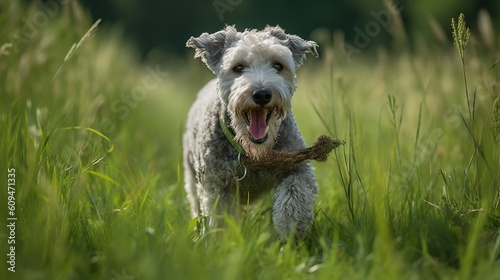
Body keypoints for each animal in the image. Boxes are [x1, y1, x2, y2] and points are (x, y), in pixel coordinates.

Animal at [185, 25, 320, 238]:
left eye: (278, 66)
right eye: (238, 68)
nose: (262, 94)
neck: (253, 152)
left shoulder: (297, 165)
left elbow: (295, 194)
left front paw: (291, 231)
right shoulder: (216, 184)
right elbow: (220, 217)